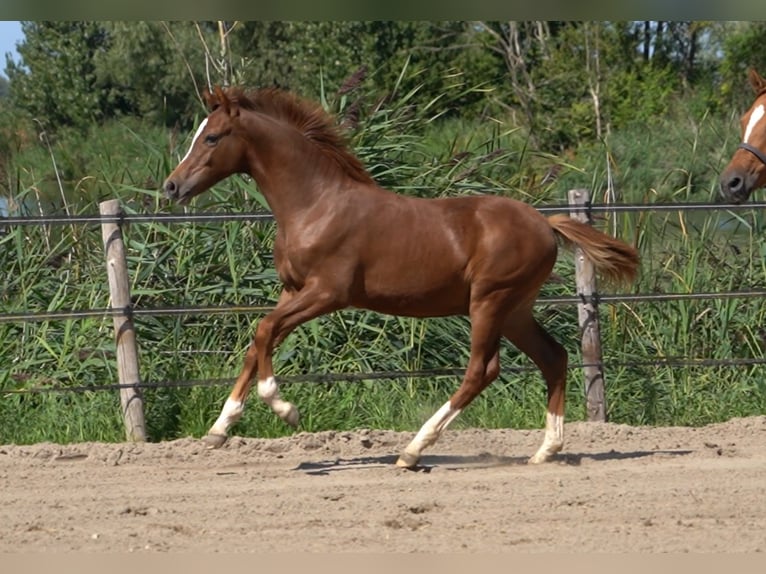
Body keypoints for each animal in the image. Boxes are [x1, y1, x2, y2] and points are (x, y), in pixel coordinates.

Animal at [163, 86, 639, 468]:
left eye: (211, 137)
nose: (171, 187)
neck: (316, 204)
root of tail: (545, 223)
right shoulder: (291, 290)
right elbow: (257, 342)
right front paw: (219, 429)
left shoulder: (327, 293)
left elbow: (263, 330)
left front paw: (284, 408)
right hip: (516, 309)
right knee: (553, 357)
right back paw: (544, 451)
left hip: (490, 302)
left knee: (482, 370)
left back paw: (413, 451)